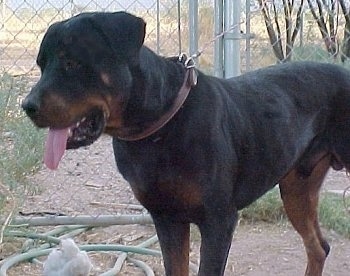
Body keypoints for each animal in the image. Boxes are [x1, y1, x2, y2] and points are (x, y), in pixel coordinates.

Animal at [21, 11, 350, 276]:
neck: (160, 128)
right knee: (318, 247)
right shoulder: (167, 219)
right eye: (41, 65)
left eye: (71, 62)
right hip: (297, 189)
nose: (27, 106)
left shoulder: (218, 221)